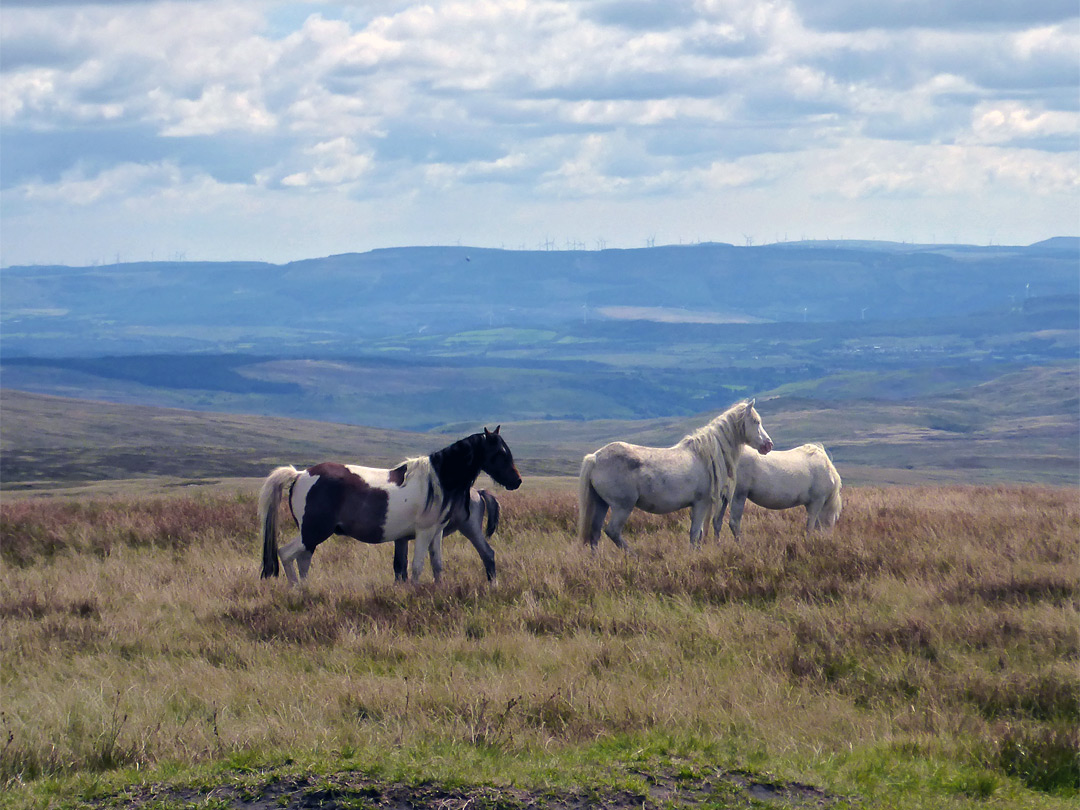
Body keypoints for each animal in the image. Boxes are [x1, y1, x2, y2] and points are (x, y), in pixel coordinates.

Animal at [257, 427, 518, 587]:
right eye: (499, 453)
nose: (516, 481)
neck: (436, 480)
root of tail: (300, 474)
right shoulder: (424, 532)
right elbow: (416, 567)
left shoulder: (435, 533)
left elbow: (437, 566)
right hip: (313, 532)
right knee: (287, 554)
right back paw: (295, 591)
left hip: (311, 535)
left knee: (303, 560)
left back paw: (305, 590)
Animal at [578, 401, 773, 552]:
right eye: (755, 421)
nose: (768, 444)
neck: (706, 455)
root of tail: (595, 457)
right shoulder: (702, 503)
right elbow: (695, 534)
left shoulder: (697, 506)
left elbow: (697, 534)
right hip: (622, 507)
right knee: (612, 532)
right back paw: (633, 556)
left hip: (601, 504)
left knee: (595, 534)